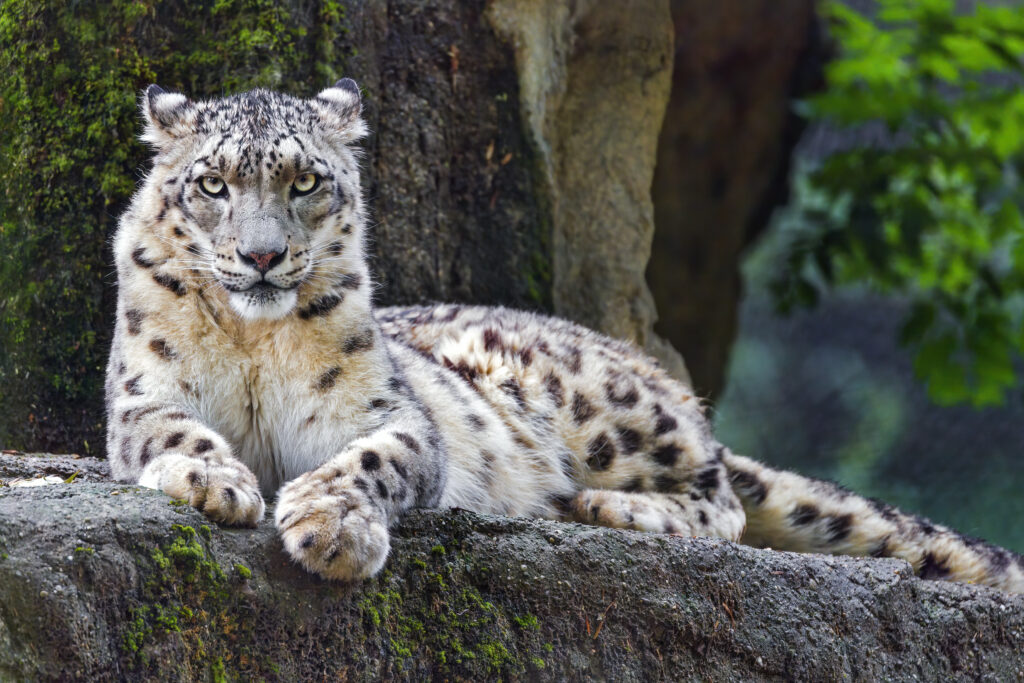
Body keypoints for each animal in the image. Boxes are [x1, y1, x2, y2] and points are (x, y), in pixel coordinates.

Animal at [105, 79, 1024, 593]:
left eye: (304, 181)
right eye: (213, 184)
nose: (262, 256)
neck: (254, 345)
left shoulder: (383, 412)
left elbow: (375, 457)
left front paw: (332, 525)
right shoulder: (142, 393)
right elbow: (169, 429)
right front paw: (214, 480)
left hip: (594, 408)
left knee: (721, 495)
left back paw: (603, 503)